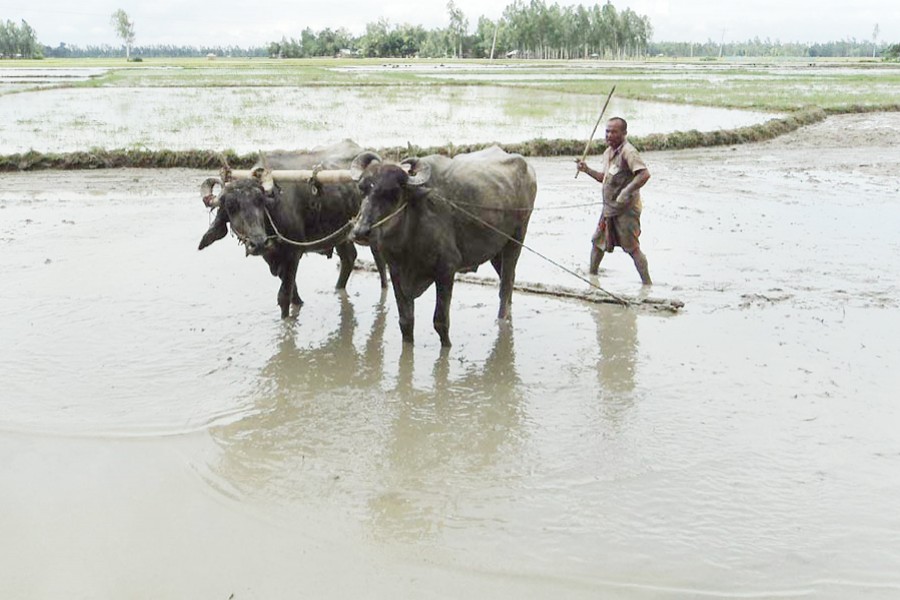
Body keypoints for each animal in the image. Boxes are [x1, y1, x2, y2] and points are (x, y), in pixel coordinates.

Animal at [200, 139, 386, 318]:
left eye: (260, 201)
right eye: (230, 207)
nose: (258, 243)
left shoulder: (293, 253)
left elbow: (284, 295)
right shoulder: (271, 256)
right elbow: (293, 294)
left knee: (380, 262)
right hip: (341, 233)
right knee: (348, 258)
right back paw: (338, 289)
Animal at [350, 145, 536, 346]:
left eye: (392, 193)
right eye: (362, 189)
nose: (361, 231)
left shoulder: (446, 270)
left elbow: (440, 321)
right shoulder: (396, 272)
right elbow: (406, 322)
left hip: (516, 239)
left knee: (506, 285)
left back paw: (502, 319)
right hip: (496, 250)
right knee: (508, 280)